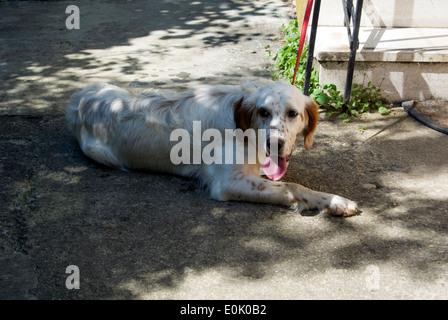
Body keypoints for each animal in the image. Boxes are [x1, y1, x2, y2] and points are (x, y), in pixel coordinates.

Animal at [66, 79, 358, 216]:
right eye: (263, 112)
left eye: (293, 113)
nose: (274, 143)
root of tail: (81, 98)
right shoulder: (228, 182)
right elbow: (292, 187)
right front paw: (335, 201)